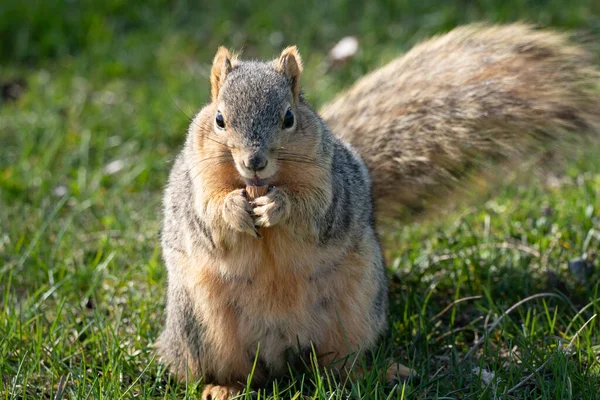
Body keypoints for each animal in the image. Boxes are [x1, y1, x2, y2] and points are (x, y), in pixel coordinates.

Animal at [156, 23, 600, 398]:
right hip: (201, 327)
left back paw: (378, 374)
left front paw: (279, 206)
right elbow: (207, 216)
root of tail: (282, 352)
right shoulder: (195, 186)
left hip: (355, 309)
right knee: (223, 370)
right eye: (219, 119)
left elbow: (316, 212)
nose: (254, 162)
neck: (262, 182)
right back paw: (222, 388)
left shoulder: (330, 183)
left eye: (289, 117)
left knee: (338, 365)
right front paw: (234, 208)